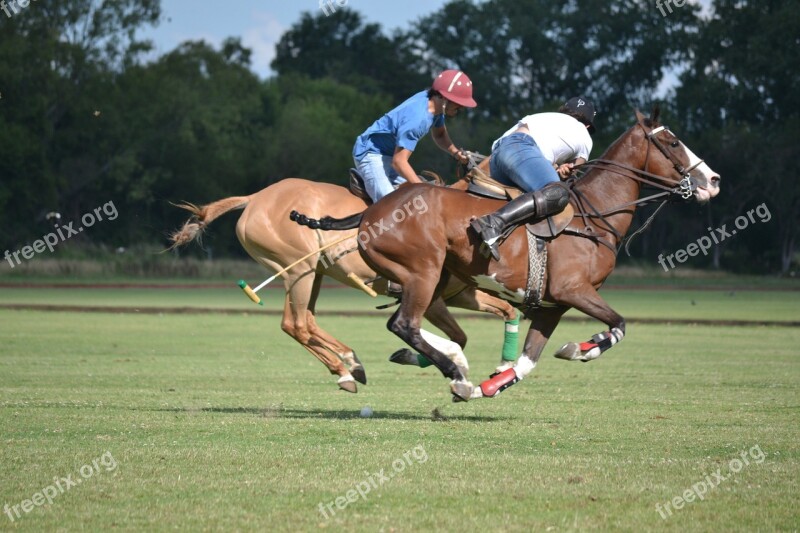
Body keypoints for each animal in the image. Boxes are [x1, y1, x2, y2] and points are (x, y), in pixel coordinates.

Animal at [170, 177, 520, 392]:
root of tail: (254, 198)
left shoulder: (463, 294)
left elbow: (485, 322)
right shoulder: (431, 296)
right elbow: (446, 334)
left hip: (312, 274)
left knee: (304, 322)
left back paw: (349, 365)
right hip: (299, 270)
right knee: (296, 324)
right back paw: (346, 369)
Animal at [290, 108, 720, 400]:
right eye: (673, 141)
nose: (713, 180)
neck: (595, 214)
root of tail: (371, 211)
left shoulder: (553, 305)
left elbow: (527, 362)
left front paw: (491, 385)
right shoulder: (574, 290)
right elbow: (618, 325)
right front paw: (582, 348)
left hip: (434, 280)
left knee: (414, 326)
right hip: (422, 272)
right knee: (403, 324)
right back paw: (453, 371)